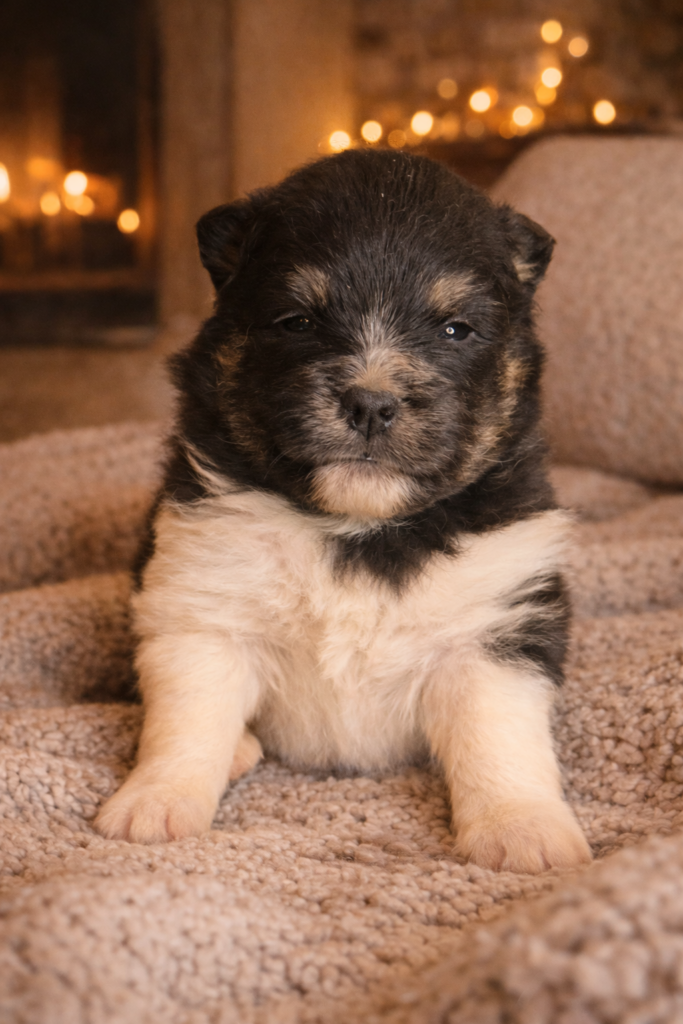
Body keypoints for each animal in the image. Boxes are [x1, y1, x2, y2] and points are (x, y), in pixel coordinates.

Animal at [95, 149, 591, 874]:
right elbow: (187, 722)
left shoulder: (495, 631)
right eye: (298, 321)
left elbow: (498, 737)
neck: (357, 526)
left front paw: (523, 830)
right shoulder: (202, 615)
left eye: (455, 329)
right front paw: (153, 805)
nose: (371, 404)